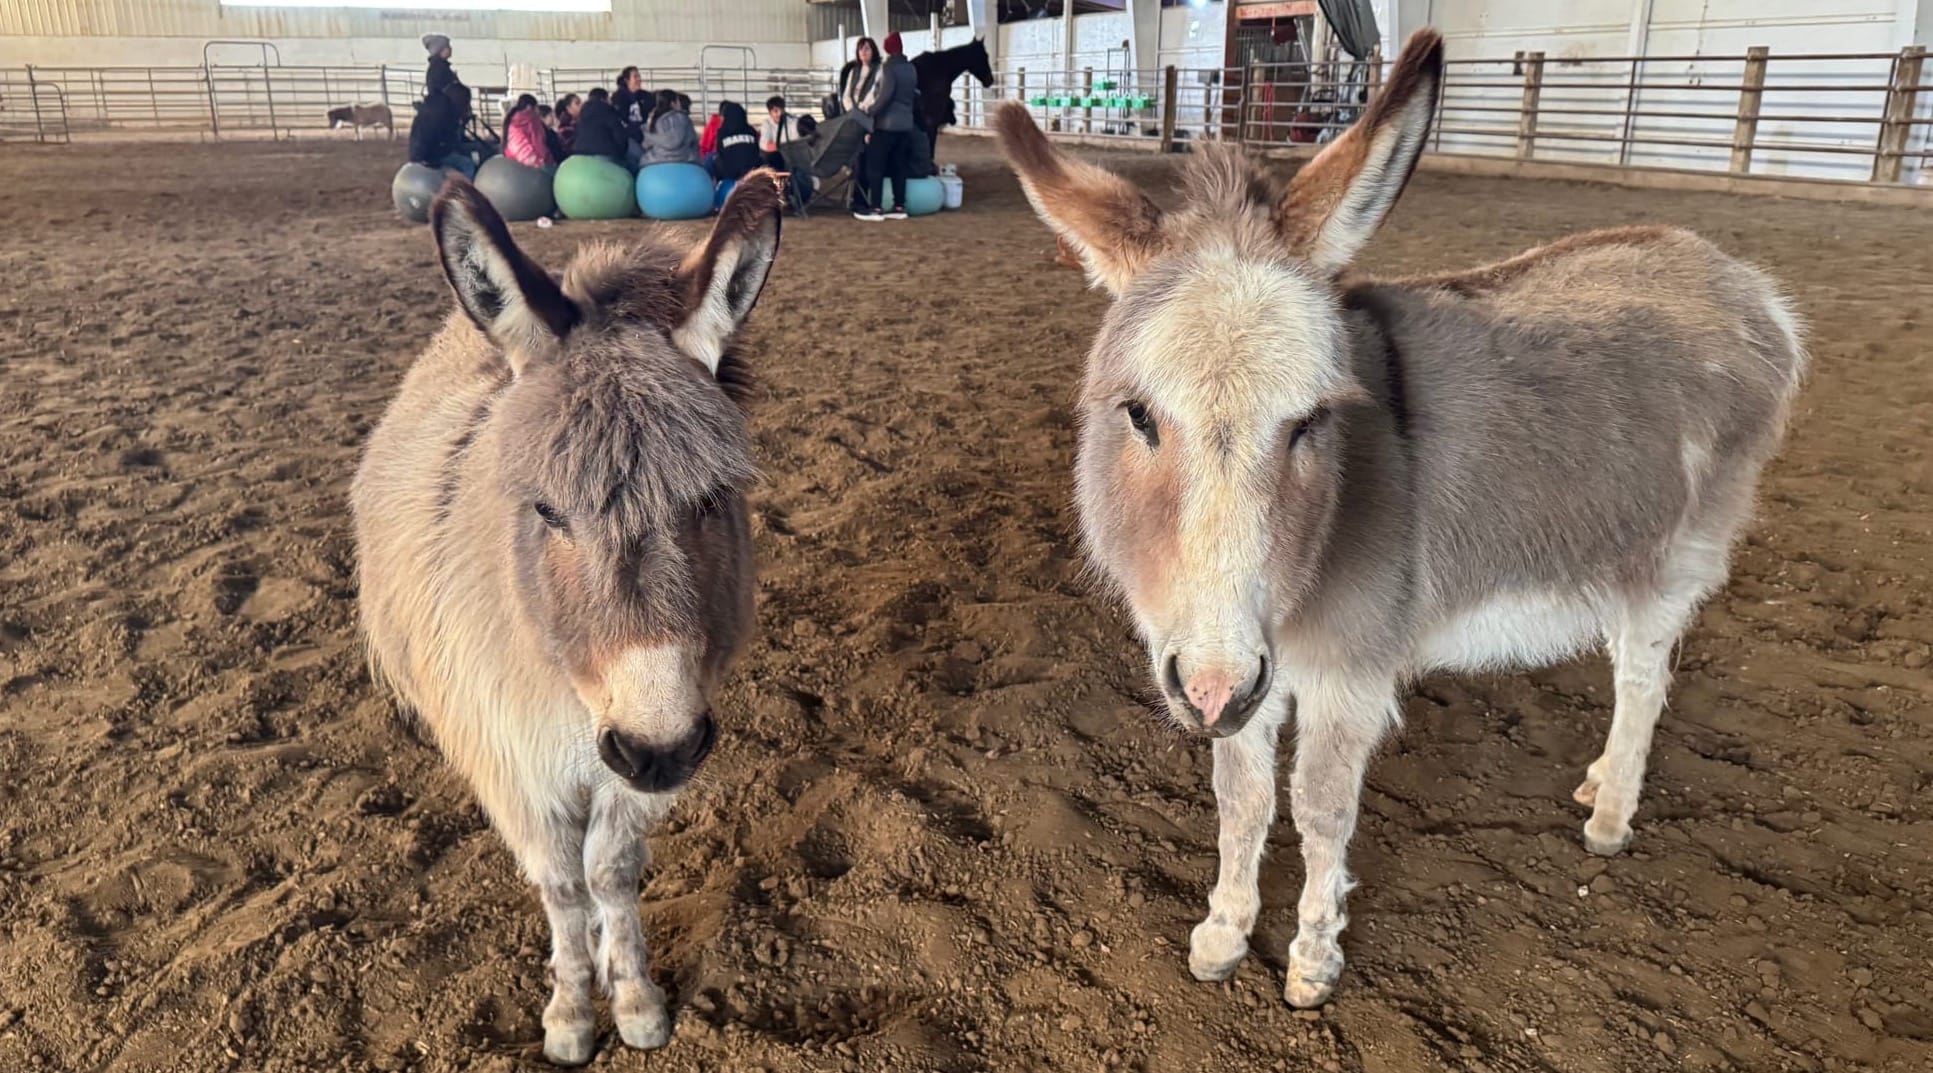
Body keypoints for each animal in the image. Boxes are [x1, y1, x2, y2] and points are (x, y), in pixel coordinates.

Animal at [352, 173, 786, 1065]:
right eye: (545, 509)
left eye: (709, 498)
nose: (657, 746)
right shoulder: (512, 758)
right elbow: (558, 881)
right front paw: (569, 1012)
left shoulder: (641, 763)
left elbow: (610, 872)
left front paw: (636, 1001)